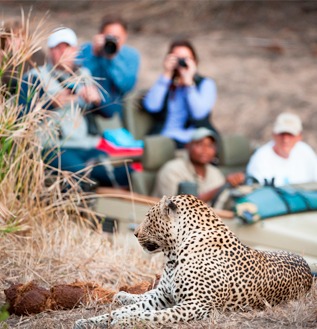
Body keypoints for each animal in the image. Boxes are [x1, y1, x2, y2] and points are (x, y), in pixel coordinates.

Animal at [73, 193, 312, 326]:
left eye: (148, 218)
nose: (135, 233)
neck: (173, 254)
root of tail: (308, 267)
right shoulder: (162, 297)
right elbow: (130, 309)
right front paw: (88, 322)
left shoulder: (196, 304)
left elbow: (153, 316)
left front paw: (124, 321)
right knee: (141, 295)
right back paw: (122, 295)